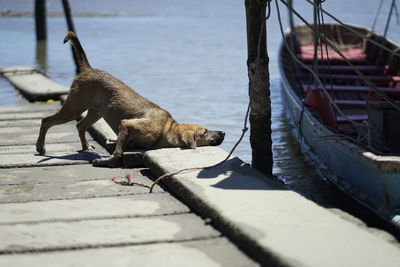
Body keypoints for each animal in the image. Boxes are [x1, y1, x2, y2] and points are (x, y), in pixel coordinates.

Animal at [36, 31, 225, 168]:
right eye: (205, 131)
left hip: (95, 112)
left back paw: (86, 146)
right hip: (74, 106)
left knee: (80, 125)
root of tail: (88, 69)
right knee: (47, 120)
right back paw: (40, 147)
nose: (223, 132)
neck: (167, 128)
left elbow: (119, 145)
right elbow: (118, 152)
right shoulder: (126, 124)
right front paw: (106, 161)